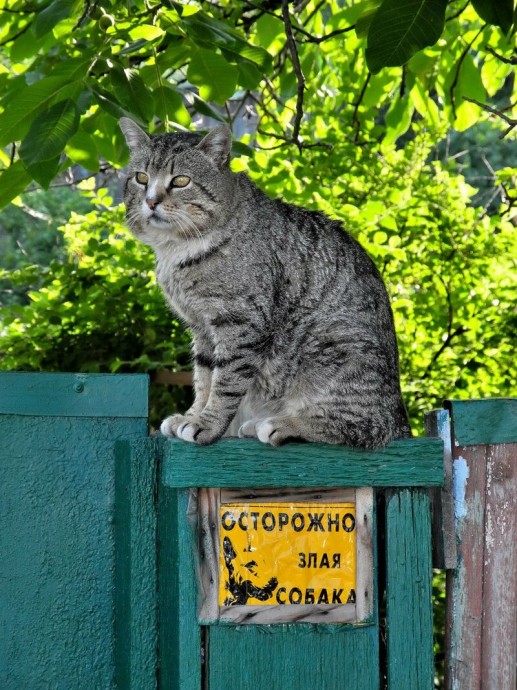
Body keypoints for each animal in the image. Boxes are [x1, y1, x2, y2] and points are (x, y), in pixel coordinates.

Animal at [119, 117, 410, 446]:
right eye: (141, 178)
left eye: (180, 181)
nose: (151, 200)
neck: (176, 250)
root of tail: (400, 420)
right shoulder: (201, 328)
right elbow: (204, 378)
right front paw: (193, 414)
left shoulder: (241, 323)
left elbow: (225, 383)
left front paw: (208, 423)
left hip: (334, 351)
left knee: (363, 427)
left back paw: (282, 424)